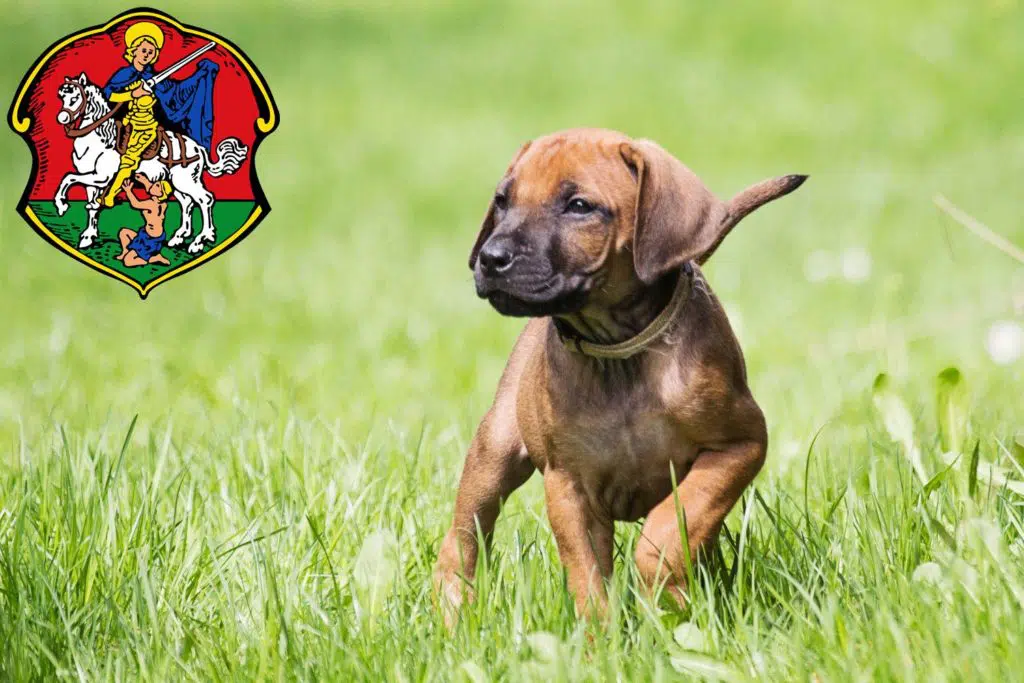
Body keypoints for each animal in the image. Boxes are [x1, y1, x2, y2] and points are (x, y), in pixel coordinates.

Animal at [53, 73, 247, 253]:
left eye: (75, 97)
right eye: (62, 96)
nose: (62, 118)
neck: (99, 139)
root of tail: (198, 148)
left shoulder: (101, 177)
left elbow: (68, 178)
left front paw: (62, 205)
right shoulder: (92, 181)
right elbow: (91, 205)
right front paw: (88, 237)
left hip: (186, 181)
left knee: (205, 199)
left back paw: (200, 241)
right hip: (177, 183)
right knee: (187, 203)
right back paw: (178, 237)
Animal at [432, 125, 806, 622]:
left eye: (579, 206)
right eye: (502, 201)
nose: (490, 258)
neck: (617, 352)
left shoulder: (739, 447)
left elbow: (668, 530)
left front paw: (664, 601)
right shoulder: (568, 487)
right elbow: (588, 578)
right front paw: (600, 638)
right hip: (494, 450)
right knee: (463, 535)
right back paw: (453, 610)